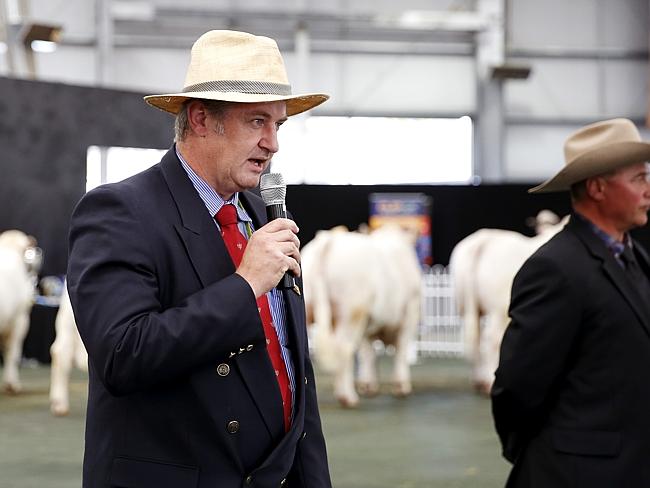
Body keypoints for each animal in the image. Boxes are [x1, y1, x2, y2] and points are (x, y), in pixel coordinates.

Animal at [300, 225, 420, 408]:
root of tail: (328, 239)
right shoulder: (410, 315)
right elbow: (401, 350)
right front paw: (402, 387)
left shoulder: (368, 325)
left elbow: (368, 353)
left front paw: (369, 385)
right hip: (352, 312)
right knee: (344, 348)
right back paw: (348, 397)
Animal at [448, 215, 564, 394]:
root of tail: (482, 241)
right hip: (499, 309)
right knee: (492, 339)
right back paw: (489, 381)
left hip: (465, 306)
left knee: (474, 339)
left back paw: (478, 381)